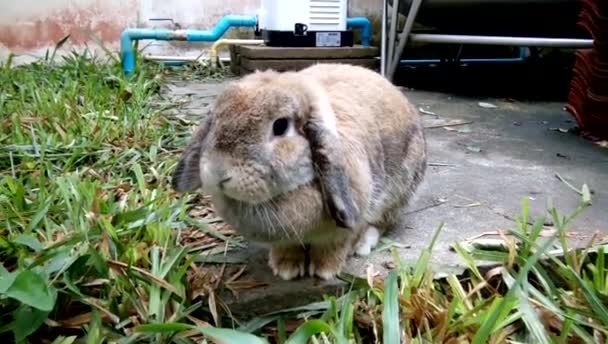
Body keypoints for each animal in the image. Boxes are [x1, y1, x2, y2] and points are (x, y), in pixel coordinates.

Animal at [171, 63, 428, 280]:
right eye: (216, 120)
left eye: (280, 126)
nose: (217, 171)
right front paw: (286, 268)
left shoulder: (343, 228)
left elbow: (335, 246)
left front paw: (324, 270)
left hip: (399, 191)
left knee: (382, 222)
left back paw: (363, 244)